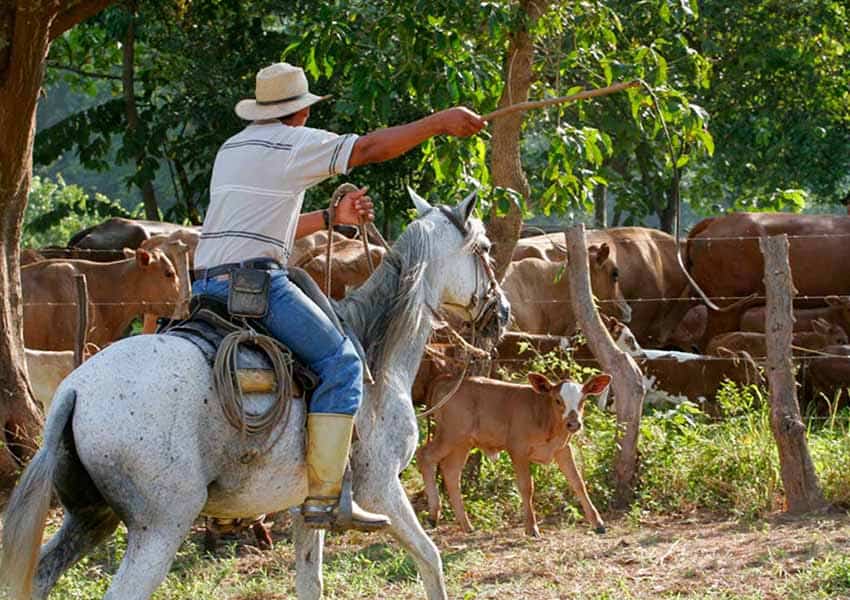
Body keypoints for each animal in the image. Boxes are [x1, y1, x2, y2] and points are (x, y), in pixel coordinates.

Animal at [416, 372, 608, 536]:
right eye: (557, 400)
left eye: (583, 400)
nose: (573, 424)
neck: (545, 417)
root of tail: (448, 379)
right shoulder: (518, 449)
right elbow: (526, 487)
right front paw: (531, 527)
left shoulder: (562, 449)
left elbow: (578, 482)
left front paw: (598, 523)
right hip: (450, 434)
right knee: (424, 455)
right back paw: (433, 515)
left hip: (463, 442)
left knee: (451, 471)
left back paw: (465, 524)